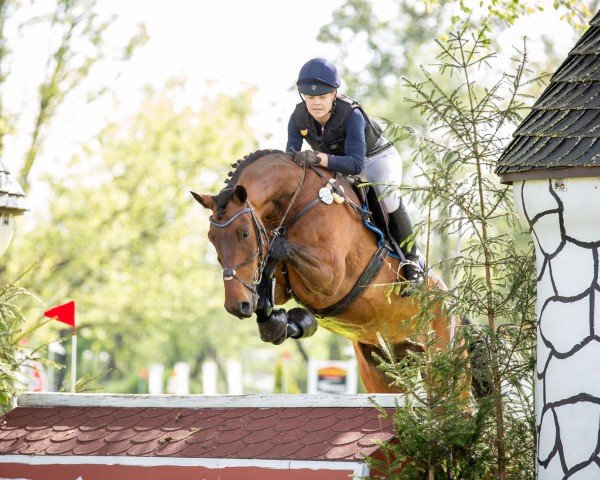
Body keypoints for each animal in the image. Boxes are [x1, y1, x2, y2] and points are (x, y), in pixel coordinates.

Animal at [192, 150, 460, 394]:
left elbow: (279, 248)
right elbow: (267, 281)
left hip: (441, 360)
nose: (237, 305)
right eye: (212, 238)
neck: (297, 201)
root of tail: (452, 304)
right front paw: (284, 323)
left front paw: (288, 321)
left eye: (244, 233)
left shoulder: (331, 278)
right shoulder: (278, 283)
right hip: (381, 366)